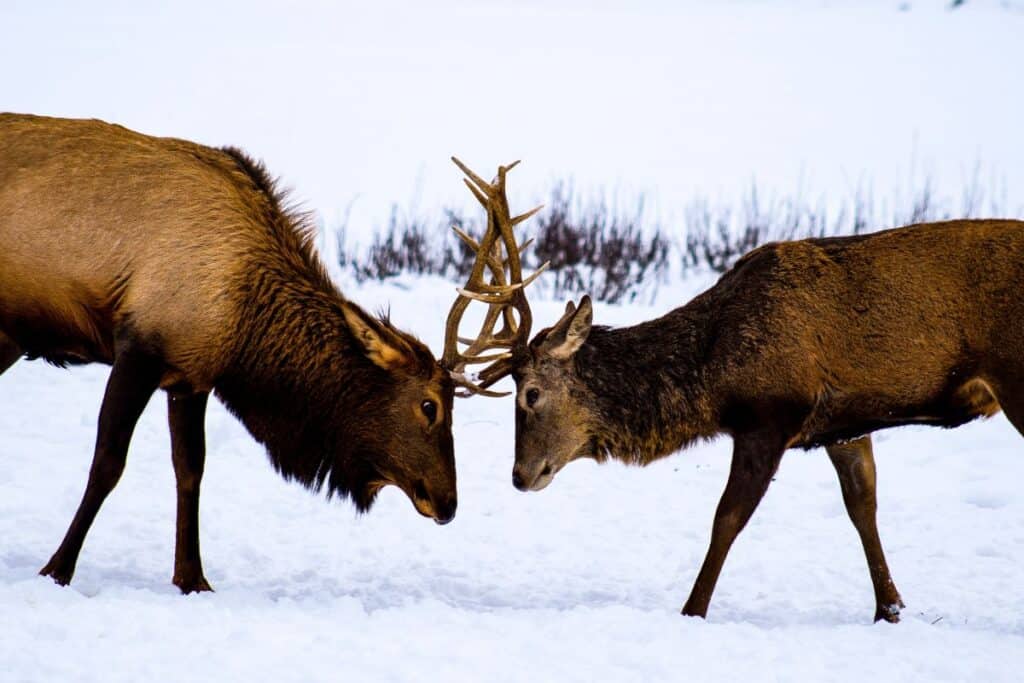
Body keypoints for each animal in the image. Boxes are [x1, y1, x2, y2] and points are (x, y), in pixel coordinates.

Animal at [0, 113, 456, 593]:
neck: (245, 328)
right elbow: (108, 464)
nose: (448, 502)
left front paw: (192, 578)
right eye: (430, 406)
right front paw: (57, 569)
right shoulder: (139, 349)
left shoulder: (189, 378)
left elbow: (190, 470)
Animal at [452, 156, 1024, 626]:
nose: (521, 476)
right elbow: (863, 507)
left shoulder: (767, 417)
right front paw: (890, 609)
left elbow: (725, 519)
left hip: (1013, 374)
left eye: (530, 393)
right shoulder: (844, 423)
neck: (712, 376)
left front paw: (692, 611)